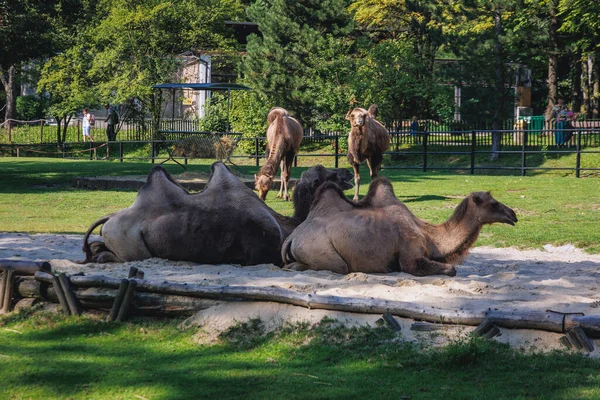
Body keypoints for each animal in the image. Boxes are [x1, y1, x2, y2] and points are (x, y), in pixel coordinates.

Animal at [80, 161, 352, 268]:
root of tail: (109, 217)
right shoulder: (261, 251)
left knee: (97, 247)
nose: (348, 171)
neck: (288, 225)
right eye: (328, 174)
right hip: (129, 242)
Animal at [284, 180, 516, 276]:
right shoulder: (410, 256)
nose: (513, 214)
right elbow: (450, 269)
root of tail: (293, 237)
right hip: (321, 250)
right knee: (337, 267)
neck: (430, 236)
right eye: (493, 203)